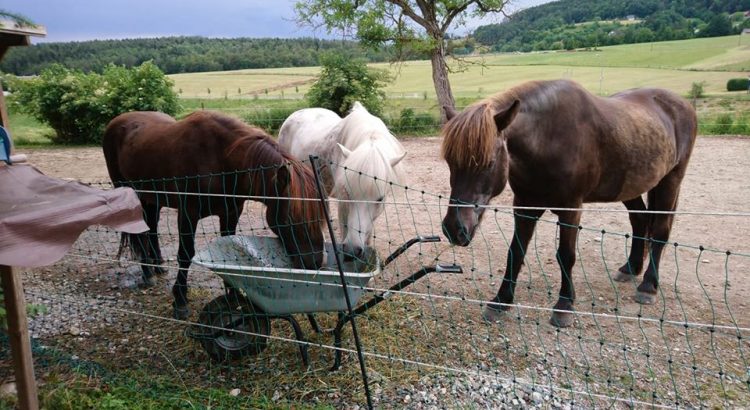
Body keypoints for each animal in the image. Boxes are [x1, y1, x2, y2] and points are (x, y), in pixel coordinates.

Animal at [103, 111, 326, 320]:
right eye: (289, 220)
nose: (314, 263)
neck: (221, 160)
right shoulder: (188, 214)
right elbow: (185, 255)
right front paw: (180, 301)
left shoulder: (231, 213)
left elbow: (229, 256)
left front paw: (233, 296)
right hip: (131, 192)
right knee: (139, 231)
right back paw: (147, 273)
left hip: (153, 197)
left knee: (152, 226)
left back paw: (157, 265)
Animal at [440, 80, 700, 328]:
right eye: (450, 161)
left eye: (489, 162)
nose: (454, 229)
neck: (548, 137)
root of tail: (682, 104)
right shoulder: (524, 207)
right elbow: (515, 252)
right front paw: (501, 301)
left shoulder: (571, 209)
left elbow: (566, 255)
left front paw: (564, 306)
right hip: (630, 185)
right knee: (640, 220)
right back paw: (630, 268)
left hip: (671, 180)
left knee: (660, 231)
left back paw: (648, 286)